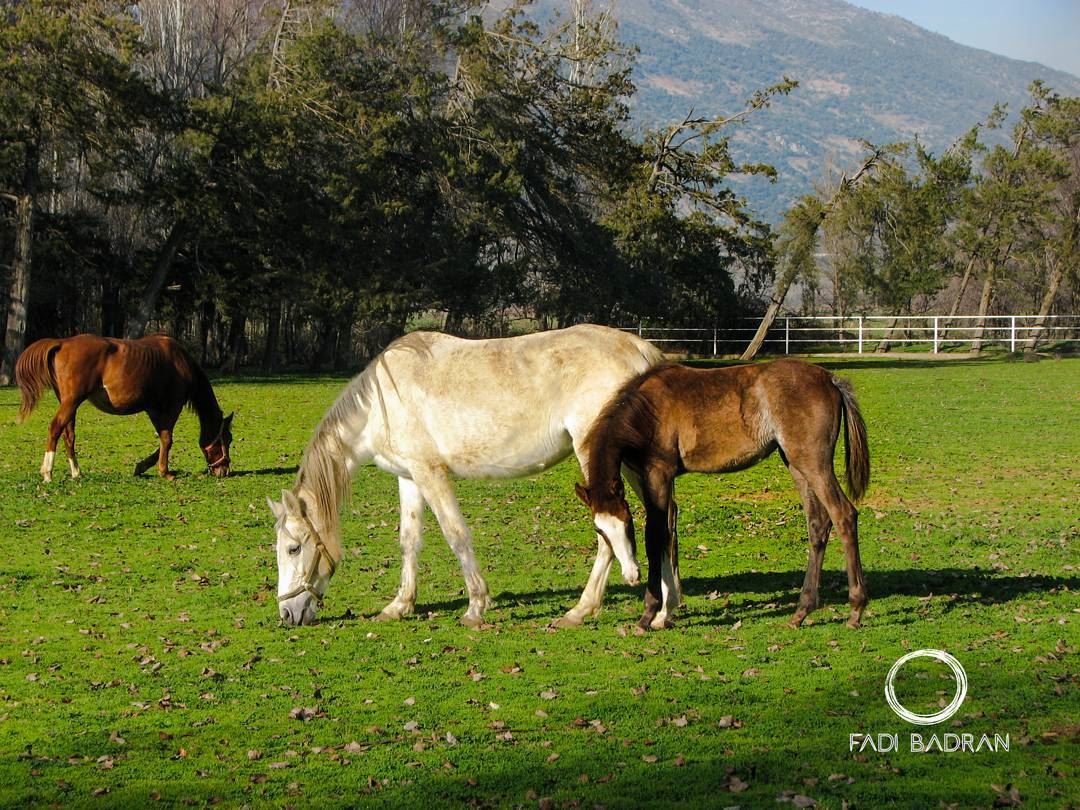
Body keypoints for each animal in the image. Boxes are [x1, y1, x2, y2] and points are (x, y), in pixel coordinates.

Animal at [13, 334, 234, 481]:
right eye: (228, 438)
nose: (224, 470)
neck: (179, 362)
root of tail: (63, 343)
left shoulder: (154, 409)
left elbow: (163, 438)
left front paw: (143, 466)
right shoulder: (171, 406)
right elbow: (167, 439)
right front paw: (164, 472)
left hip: (69, 403)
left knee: (68, 435)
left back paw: (76, 472)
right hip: (71, 401)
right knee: (55, 428)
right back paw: (47, 472)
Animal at [265, 326, 660, 630]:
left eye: (293, 547)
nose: (286, 613)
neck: (380, 405)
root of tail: (638, 350)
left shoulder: (430, 474)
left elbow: (456, 535)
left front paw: (475, 607)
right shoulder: (409, 477)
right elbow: (409, 541)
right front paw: (399, 606)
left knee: (611, 526)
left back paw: (581, 610)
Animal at [574, 360, 868, 635]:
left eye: (627, 524)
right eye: (600, 530)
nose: (631, 576)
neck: (646, 410)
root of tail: (831, 379)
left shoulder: (658, 473)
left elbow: (655, 536)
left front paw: (648, 615)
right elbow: (666, 533)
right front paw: (662, 613)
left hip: (814, 463)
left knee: (844, 514)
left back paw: (855, 610)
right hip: (796, 463)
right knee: (818, 524)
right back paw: (801, 612)